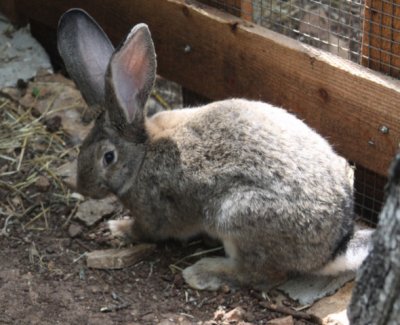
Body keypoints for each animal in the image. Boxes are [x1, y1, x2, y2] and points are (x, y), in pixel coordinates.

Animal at [57, 8, 374, 292]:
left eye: (108, 157)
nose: (84, 187)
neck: (143, 155)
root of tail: (333, 248)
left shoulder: (153, 213)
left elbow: (146, 231)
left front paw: (118, 229)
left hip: (235, 215)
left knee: (263, 275)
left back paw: (203, 272)